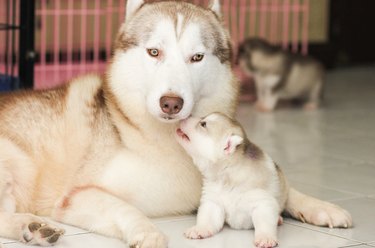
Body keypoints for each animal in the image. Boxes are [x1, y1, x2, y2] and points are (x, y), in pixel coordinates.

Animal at [176, 113, 352, 248]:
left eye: (203, 124)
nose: (185, 115)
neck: (226, 176)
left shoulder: (263, 203)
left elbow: (265, 222)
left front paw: (265, 238)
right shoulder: (213, 202)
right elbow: (207, 219)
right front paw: (199, 229)